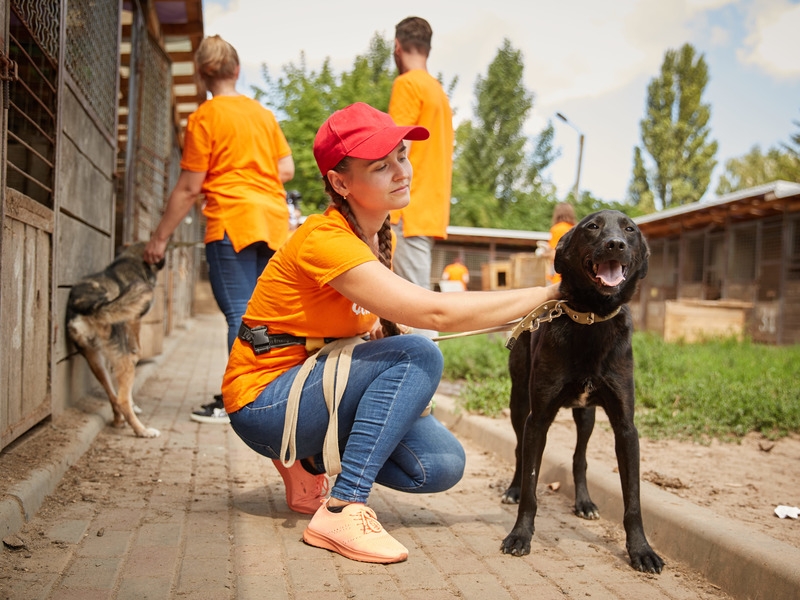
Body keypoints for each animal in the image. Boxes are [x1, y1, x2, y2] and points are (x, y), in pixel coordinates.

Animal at [67, 241, 164, 438]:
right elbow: (137, 349)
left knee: (113, 396)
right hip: (120, 359)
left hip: (95, 359)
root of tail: (85, 303)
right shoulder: (133, 320)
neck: (130, 259)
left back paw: (119, 421)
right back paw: (142, 430)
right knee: (121, 400)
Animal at [500, 210, 664, 572]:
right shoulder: (538, 419)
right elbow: (532, 487)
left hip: (586, 415)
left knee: (579, 458)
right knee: (518, 451)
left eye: (630, 229)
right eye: (592, 227)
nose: (615, 244)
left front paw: (641, 550)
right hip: (519, 404)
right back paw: (513, 489)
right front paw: (520, 534)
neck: (592, 319)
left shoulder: (626, 428)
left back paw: (584, 502)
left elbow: (633, 501)